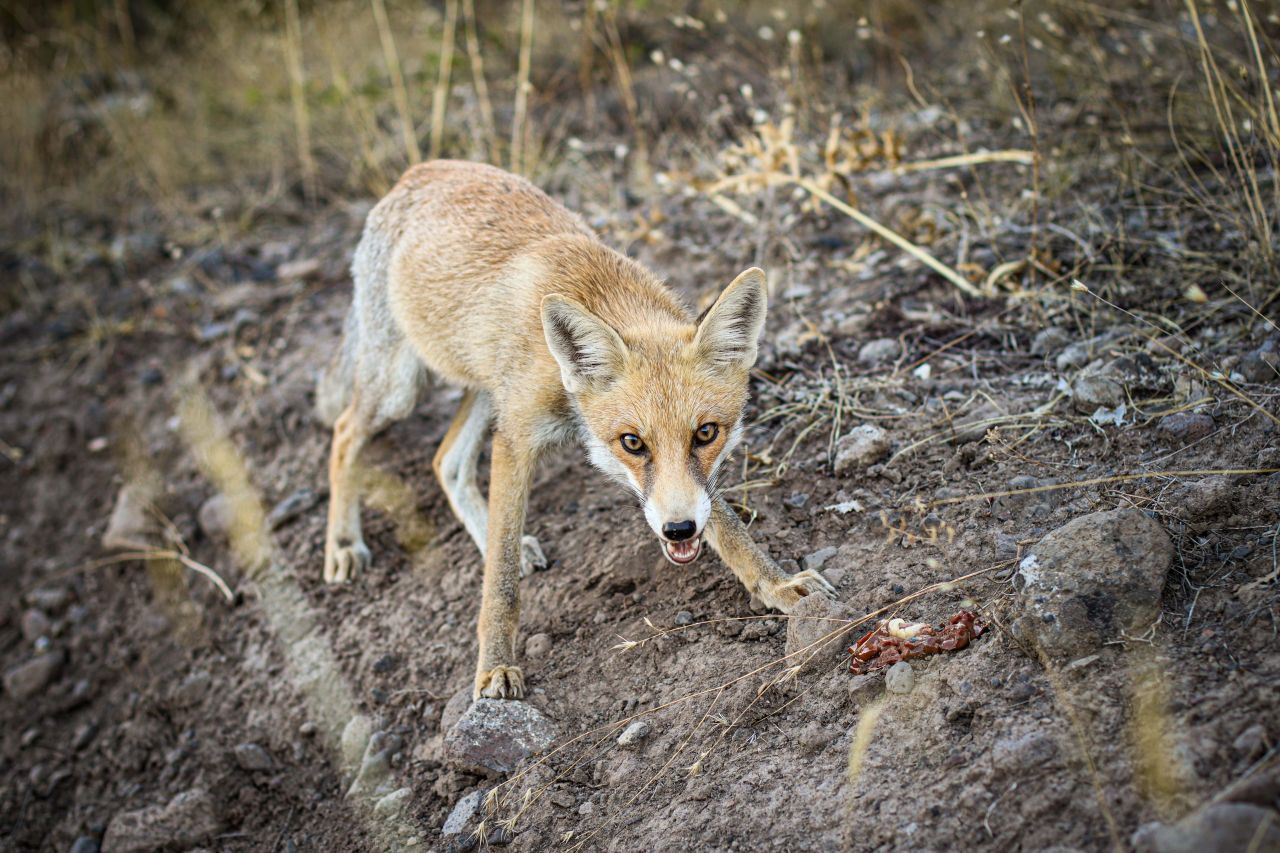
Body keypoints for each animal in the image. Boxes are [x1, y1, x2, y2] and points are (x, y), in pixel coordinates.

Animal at [318, 159, 834, 696]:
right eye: (633, 443)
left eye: (706, 433)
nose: (678, 530)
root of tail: (419, 170)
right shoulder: (516, 441)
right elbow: (500, 584)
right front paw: (494, 665)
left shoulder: (687, 488)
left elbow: (730, 528)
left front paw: (778, 584)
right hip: (401, 389)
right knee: (345, 434)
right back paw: (342, 543)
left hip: (487, 389)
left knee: (446, 461)